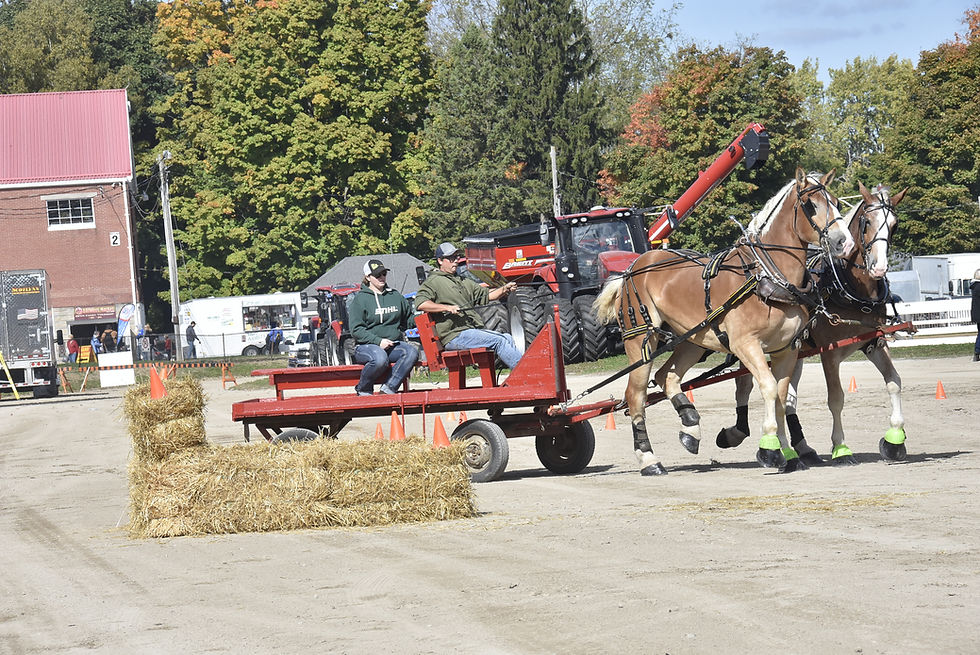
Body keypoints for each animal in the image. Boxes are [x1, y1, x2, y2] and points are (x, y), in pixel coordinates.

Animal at [594, 168, 853, 475]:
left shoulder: (787, 349)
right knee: (636, 394)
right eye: (810, 205)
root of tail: (632, 268)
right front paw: (770, 450)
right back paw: (649, 459)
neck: (767, 275)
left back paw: (690, 427)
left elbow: (780, 396)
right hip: (640, 339)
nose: (844, 242)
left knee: (667, 376)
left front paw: (787, 452)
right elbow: (767, 387)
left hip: (693, 339)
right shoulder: (746, 345)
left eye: (835, 201)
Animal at [716, 182, 908, 465]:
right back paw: (740, 434)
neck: (848, 286)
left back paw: (800, 447)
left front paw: (895, 439)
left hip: (794, 351)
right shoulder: (829, 352)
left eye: (894, 225)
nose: (879, 268)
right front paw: (841, 447)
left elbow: (894, 381)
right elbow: (836, 398)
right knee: (745, 387)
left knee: (787, 398)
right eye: (867, 223)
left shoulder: (874, 342)